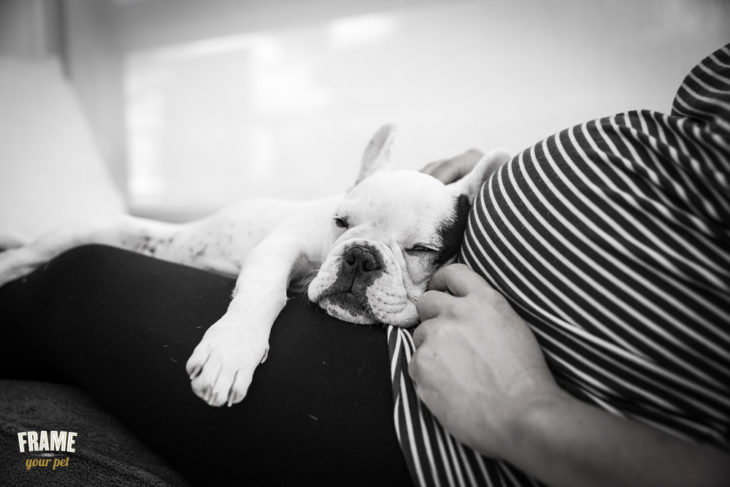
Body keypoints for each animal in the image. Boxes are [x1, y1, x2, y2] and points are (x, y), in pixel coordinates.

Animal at [0, 126, 506, 408]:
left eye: (421, 249)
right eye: (340, 222)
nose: (360, 256)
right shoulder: (280, 247)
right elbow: (263, 292)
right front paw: (231, 353)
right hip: (64, 239)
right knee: (25, 256)